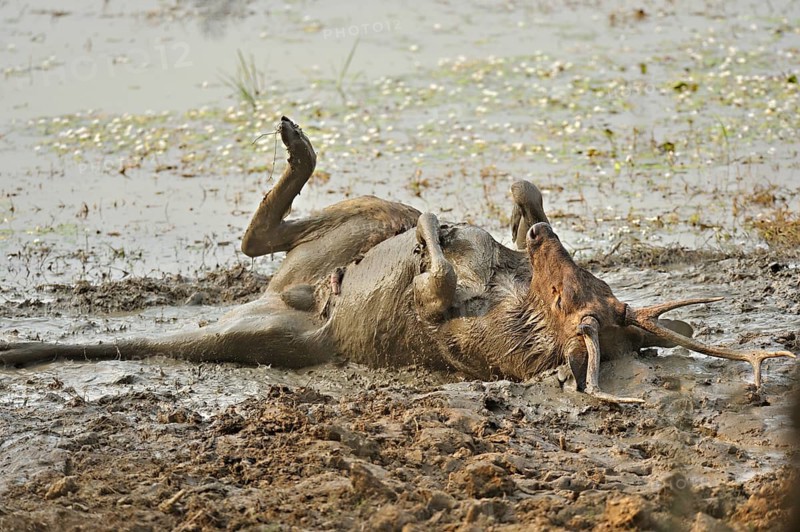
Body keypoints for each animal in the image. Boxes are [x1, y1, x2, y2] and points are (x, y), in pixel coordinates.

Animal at [1, 116, 794, 403]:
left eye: (567, 298)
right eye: (577, 280)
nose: (540, 239)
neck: (517, 305)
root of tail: (285, 300)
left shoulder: (449, 326)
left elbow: (436, 281)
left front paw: (440, 233)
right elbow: (512, 200)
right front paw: (502, 213)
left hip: (275, 330)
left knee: (250, 261)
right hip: (354, 225)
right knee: (289, 232)